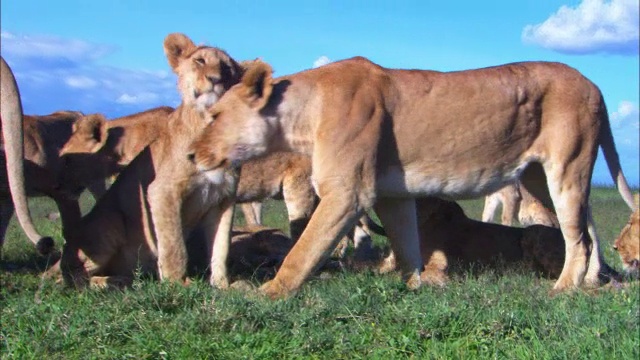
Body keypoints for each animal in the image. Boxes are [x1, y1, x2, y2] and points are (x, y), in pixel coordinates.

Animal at [188, 57, 636, 298]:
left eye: (214, 116)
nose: (191, 154)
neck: (299, 114)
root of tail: (594, 84)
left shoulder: (346, 193)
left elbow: (302, 250)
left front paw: (268, 293)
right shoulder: (392, 195)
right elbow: (405, 244)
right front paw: (416, 284)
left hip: (567, 167)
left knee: (577, 238)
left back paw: (564, 287)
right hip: (539, 179)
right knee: (588, 231)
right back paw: (593, 282)